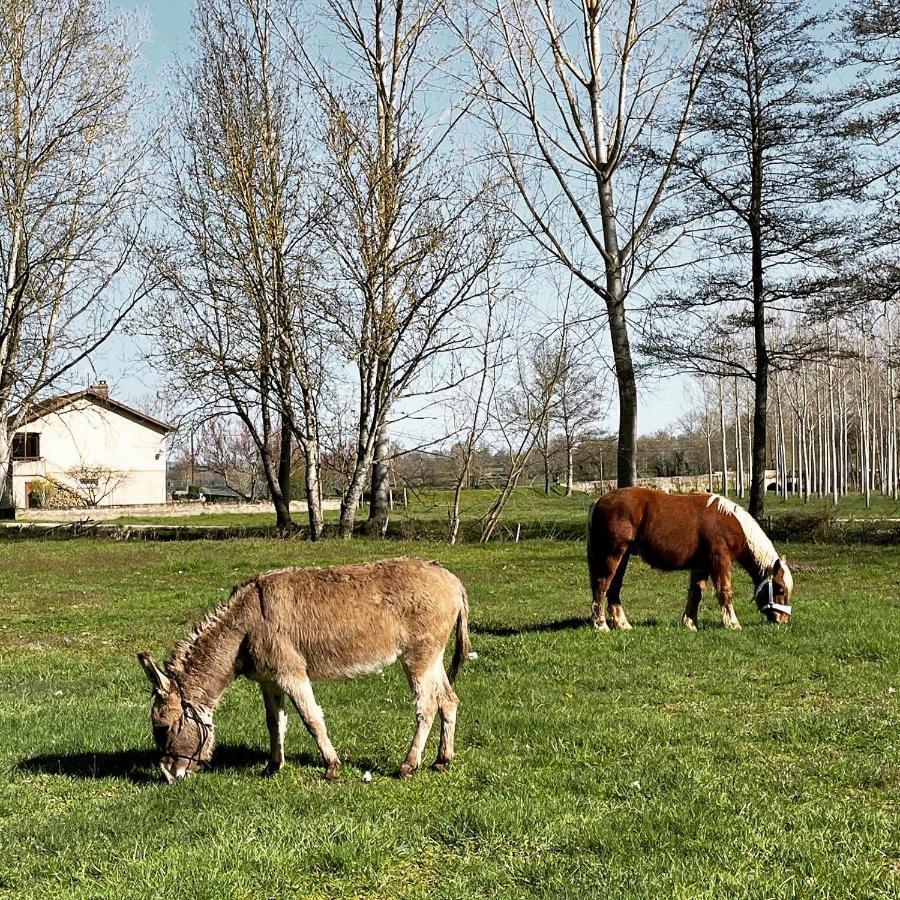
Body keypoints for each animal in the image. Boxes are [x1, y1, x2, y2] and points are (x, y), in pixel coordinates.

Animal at [588, 488, 792, 628]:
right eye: (780, 589)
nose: (784, 619)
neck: (731, 523)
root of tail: (599, 501)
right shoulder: (720, 561)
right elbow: (725, 591)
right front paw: (733, 624)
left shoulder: (701, 565)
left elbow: (696, 593)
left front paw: (690, 623)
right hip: (612, 554)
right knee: (602, 584)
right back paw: (601, 625)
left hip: (623, 557)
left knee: (614, 587)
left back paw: (623, 624)